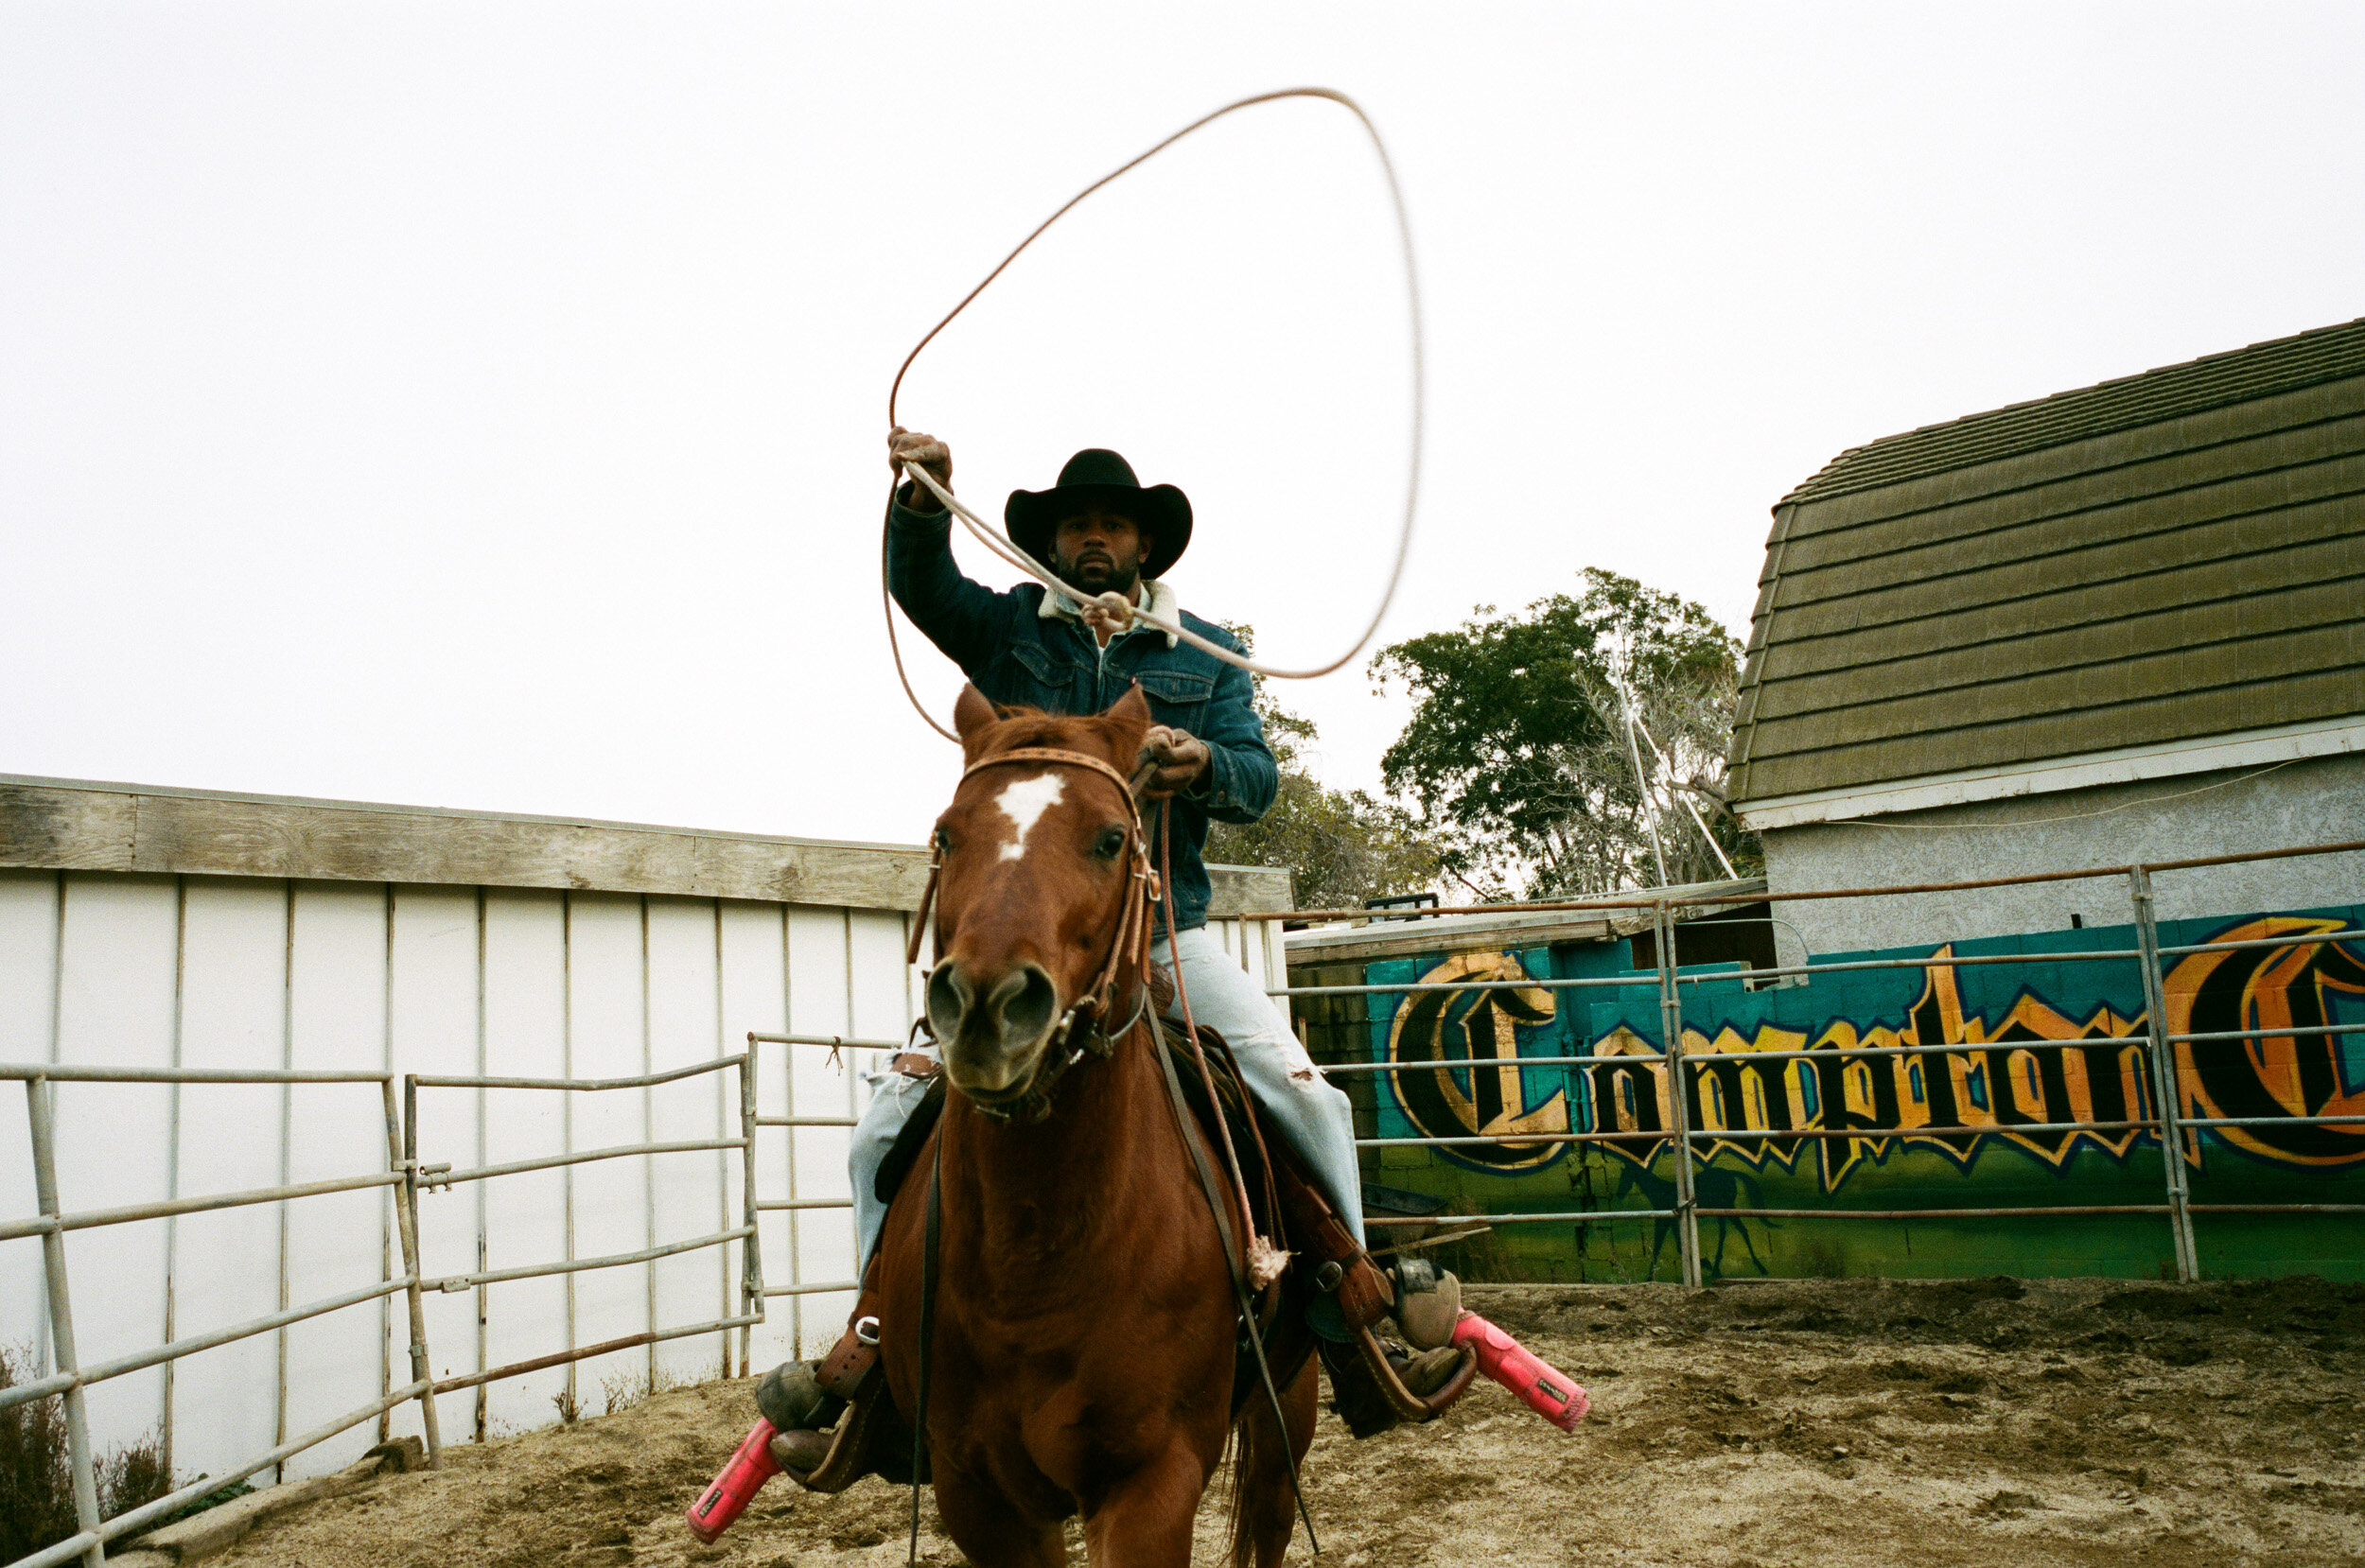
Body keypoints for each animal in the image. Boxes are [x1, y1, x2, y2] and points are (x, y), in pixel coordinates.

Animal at [870, 686, 1315, 1568]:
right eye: (947, 832)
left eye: (1112, 839)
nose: (986, 1005)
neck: (1031, 1260)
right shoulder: (977, 1494)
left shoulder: (1151, 1481)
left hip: (1288, 1413)